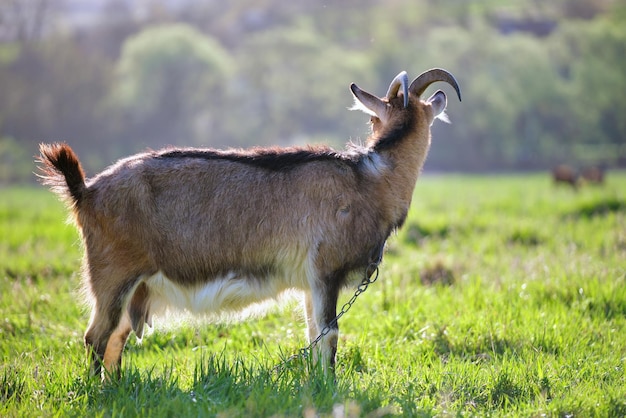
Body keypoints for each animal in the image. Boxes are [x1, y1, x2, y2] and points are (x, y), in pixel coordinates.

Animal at [37, 68, 458, 378]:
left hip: (134, 287)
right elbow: (329, 334)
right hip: (112, 277)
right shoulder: (326, 270)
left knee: (115, 339)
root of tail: (87, 191)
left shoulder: (311, 282)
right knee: (96, 336)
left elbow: (313, 332)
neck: (370, 178)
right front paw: (331, 387)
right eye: (372, 118)